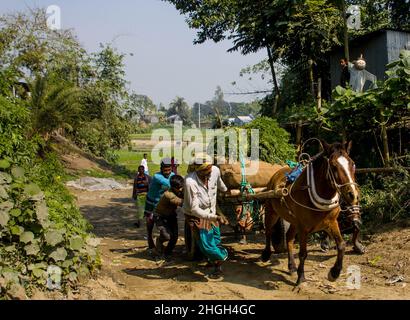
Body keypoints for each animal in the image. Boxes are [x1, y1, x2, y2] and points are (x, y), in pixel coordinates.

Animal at [262, 141, 360, 284]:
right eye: (333, 166)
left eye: (353, 164)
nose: (353, 195)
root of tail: (275, 174)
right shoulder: (303, 228)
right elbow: (303, 253)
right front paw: (301, 277)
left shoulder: (331, 223)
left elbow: (341, 245)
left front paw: (334, 273)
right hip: (272, 212)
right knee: (269, 231)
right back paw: (266, 254)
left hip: (294, 221)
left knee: (289, 238)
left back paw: (291, 266)